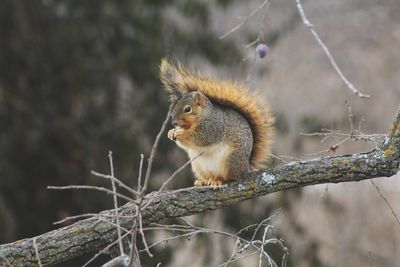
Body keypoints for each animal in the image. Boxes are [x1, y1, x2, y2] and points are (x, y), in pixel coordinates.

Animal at [159, 59, 276, 187]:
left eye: (188, 109)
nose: (174, 123)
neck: (202, 116)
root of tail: (245, 168)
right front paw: (171, 132)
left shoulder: (213, 126)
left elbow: (202, 137)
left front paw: (181, 133)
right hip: (198, 165)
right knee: (209, 176)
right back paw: (203, 180)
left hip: (230, 160)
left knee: (230, 177)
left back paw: (218, 180)